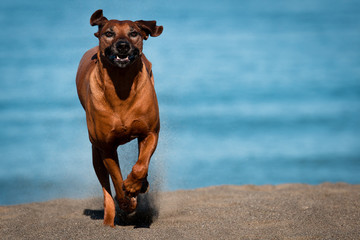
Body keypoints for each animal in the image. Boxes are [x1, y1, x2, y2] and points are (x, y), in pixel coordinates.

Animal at [76, 9, 163, 227]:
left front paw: (133, 184)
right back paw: (110, 217)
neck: (121, 85)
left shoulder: (150, 132)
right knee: (106, 188)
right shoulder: (106, 146)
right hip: (95, 153)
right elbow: (115, 178)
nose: (123, 45)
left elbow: (140, 166)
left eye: (134, 33)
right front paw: (126, 201)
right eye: (109, 33)